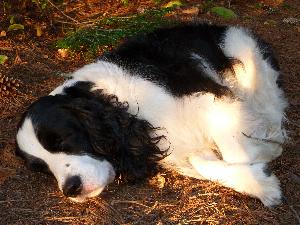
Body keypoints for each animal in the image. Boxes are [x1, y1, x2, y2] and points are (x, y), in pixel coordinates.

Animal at [15, 23, 288, 207]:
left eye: (63, 139)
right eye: (42, 169)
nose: (70, 188)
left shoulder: (209, 98)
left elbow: (236, 150)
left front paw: (262, 162)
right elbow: (201, 163)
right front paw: (261, 183)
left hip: (242, 52)